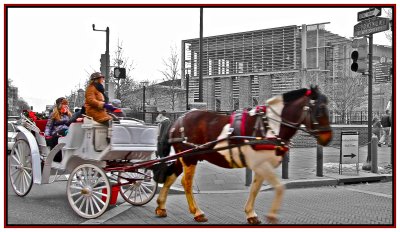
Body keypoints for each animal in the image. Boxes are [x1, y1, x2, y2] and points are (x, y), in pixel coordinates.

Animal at [152, 86, 332, 224]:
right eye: (319, 110)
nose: (328, 137)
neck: (268, 126)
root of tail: (177, 120)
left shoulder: (260, 165)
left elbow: (255, 188)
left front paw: (251, 214)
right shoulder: (262, 164)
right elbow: (280, 187)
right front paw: (271, 215)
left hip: (183, 156)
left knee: (170, 176)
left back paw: (161, 206)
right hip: (190, 157)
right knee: (186, 182)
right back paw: (197, 212)